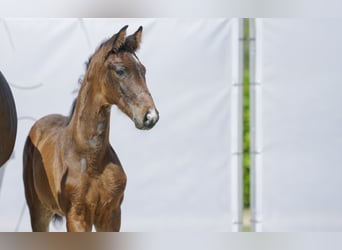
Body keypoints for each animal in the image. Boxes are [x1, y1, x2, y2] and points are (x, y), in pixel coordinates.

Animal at [22, 26, 159, 231]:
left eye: (143, 70)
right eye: (120, 70)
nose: (150, 116)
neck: (91, 159)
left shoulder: (111, 215)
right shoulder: (77, 216)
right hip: (38, 210)